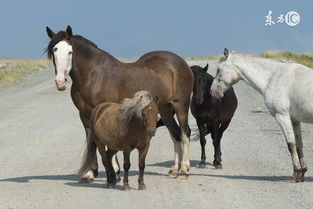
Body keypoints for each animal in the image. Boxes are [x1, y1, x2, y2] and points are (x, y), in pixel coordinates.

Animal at [45, 25, 194, 180]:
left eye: (70, 51)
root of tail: (181, 63)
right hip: (164, 109)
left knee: (185, 133)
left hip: (180, 105)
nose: (60, 82)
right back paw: (174, 170)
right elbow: (91, 139)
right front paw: (91, 173)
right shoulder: (84, 115)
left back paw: (184, 169)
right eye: (54, 50)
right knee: (175, 134)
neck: (94, 76)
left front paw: (115, 171)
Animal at [210, 48, 312, 182]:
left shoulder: (282, 117)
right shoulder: (295, 120)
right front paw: (302, 174)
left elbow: (291, 145)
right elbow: (299, 145)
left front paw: (296, 174)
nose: (212, 91)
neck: (273, 77)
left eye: (219, 69)